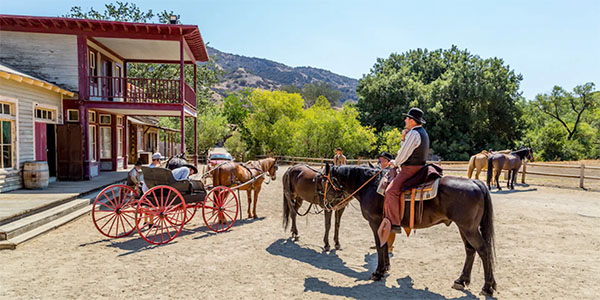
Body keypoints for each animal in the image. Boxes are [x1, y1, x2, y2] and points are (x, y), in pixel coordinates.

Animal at [324, 164, 496, 298]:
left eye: (325, 181)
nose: (326, 203)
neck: (369, 185)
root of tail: (474, 182)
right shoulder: (386, 224)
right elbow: (385, 246)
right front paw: (385, 269)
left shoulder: (376, 222)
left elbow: (380, 245)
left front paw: (378, 273)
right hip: (464, 228)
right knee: (470, 250)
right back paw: (462, 280)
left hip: (469, 229)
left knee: (483, 250)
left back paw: (487, 287)